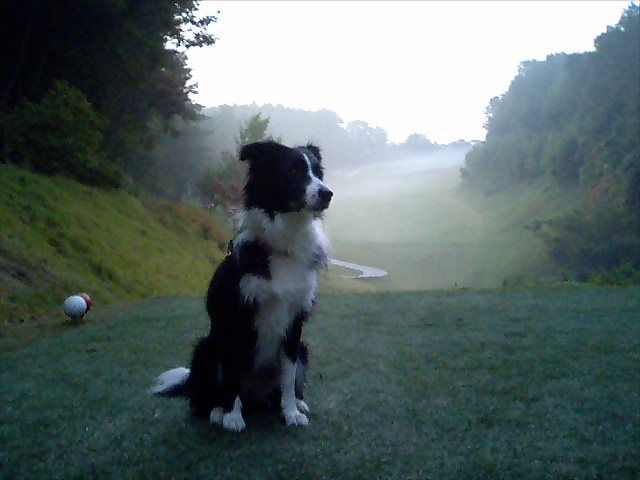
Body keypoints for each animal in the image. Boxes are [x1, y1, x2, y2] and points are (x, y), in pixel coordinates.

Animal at [151, 140, 333, 432]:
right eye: (292, 171)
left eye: (318, 172)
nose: (328, 194)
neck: (284, 241)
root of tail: (255, 396)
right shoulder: (233, 318)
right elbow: (232, 374)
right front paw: (233, 417)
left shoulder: (294, 322)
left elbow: (288, 376)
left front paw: (291, 412)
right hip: (206, 348)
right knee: (204, 398)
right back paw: (217, 410)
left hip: (303, 349)